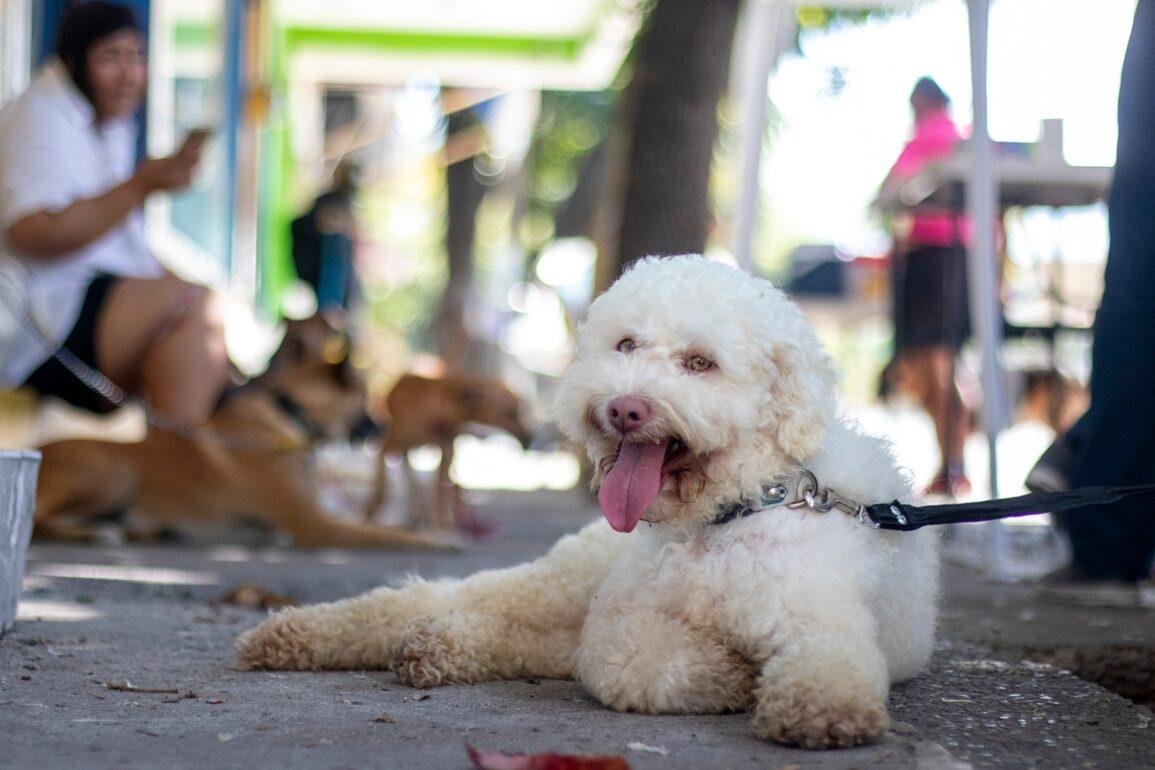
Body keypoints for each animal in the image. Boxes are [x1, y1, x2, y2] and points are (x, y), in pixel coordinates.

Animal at [32, 316, 455, 551]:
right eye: (365, 397)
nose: (383, 427)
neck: (288, 414)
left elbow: (384, 525)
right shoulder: (311, 523)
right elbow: (387, 534)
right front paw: (439, 539)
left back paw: (145, 531)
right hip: (118, 474)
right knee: (39, 521)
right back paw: (94, 534)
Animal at [362, 371, 533, 531]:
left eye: (519, 411)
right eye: (510, 412)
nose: (530, 438)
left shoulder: (447, 450)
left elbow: (441, 488)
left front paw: (442, 521)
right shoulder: (394, 442)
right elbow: (382, 473)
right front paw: (373, 506)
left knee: (415, 477)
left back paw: (419, 512)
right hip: (399, 440)